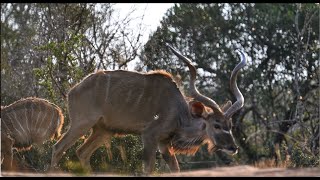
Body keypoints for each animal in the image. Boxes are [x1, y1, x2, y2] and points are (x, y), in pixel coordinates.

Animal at [50, 44, 246, 174]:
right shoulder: (150, 136)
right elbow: (148, 169)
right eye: (216, 125)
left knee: (82, 152)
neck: (178, 112)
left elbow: (175, 169)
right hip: (81, 124)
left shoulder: (164, 143)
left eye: (230, 126)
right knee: (58, 148)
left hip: (103, 131)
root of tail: (72, 91)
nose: (233, 147)